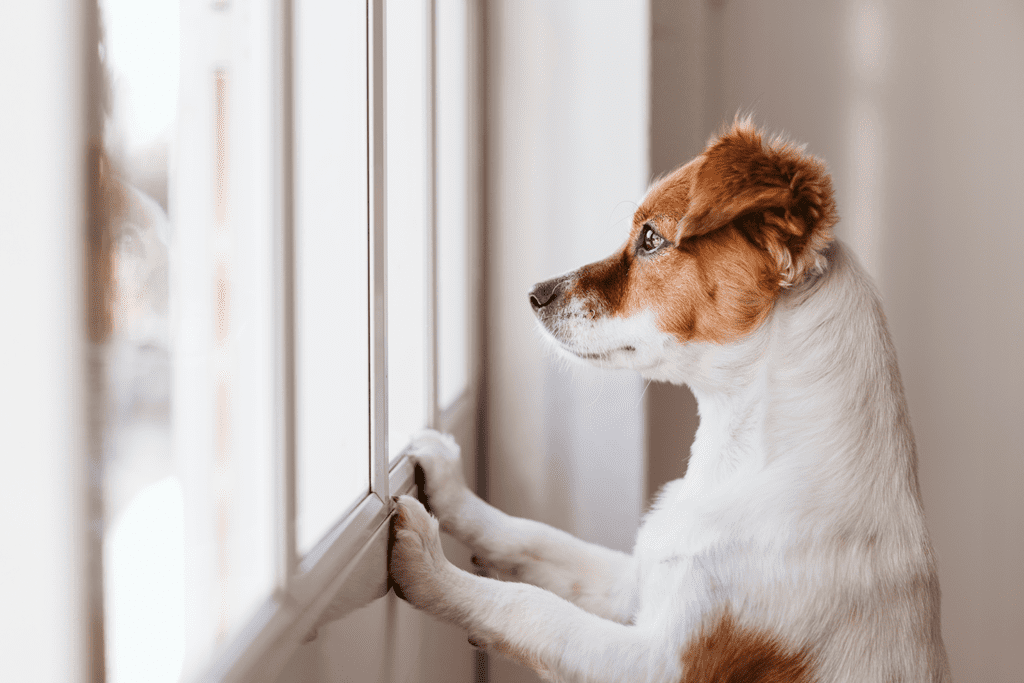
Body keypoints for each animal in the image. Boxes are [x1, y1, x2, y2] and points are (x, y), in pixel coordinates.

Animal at [387, 120, 946, 679]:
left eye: (652, 238)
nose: (534, 294)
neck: (741, 461)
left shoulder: (658, 663)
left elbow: (531, 607)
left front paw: (430, 567)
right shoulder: (636, 582)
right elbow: (534, 537)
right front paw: (450, 487)